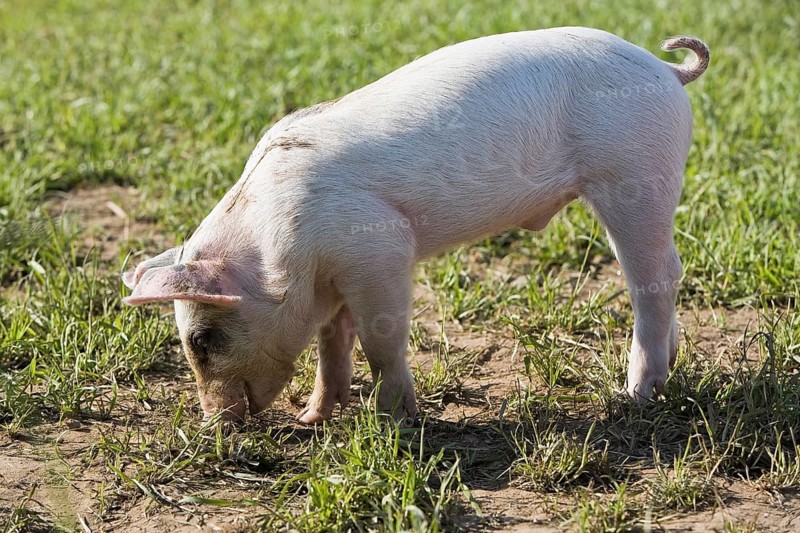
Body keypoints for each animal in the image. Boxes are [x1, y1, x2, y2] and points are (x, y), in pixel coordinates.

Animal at [122, 27, 709, 424]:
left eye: (202, 339)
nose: (214, 426)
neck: (277, 253)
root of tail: (666, 70)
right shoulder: (335, 275)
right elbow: (331, 340)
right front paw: (313, 419)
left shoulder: (380, 248)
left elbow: (382, 340)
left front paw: (393, 422)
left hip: (635, 174)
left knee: (656, 277)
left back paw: (636, 394)